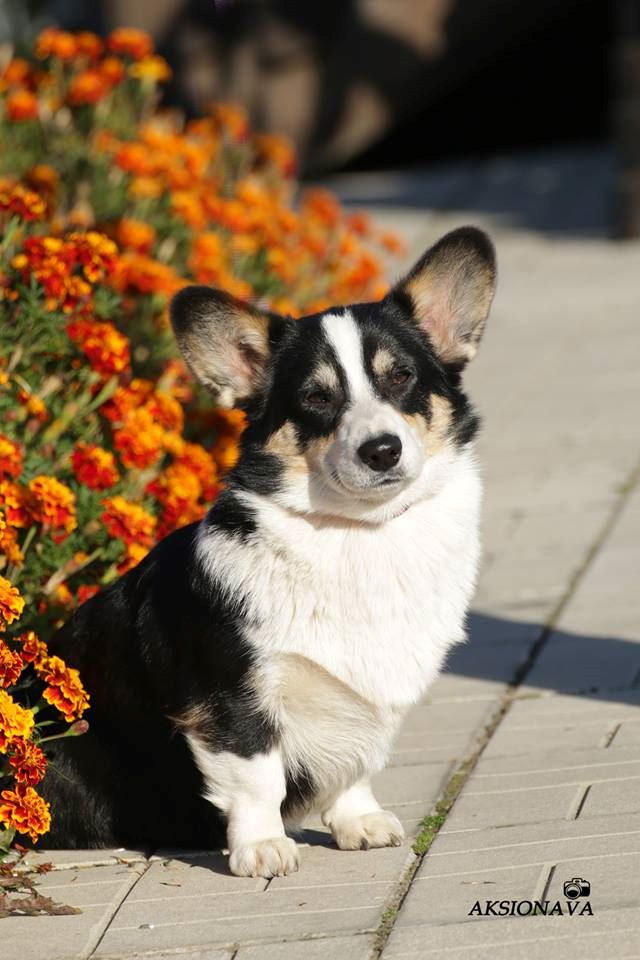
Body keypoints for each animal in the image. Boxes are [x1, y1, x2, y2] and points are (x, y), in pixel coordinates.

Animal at [41, 227, 496, 876]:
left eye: (402, 376)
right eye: (315, 397)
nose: (382, 450)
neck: (358, 533)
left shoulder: (366, 703)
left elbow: (358, 760)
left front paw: (358, 821)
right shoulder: (230, 696)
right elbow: (258, 777)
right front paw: (261, 846)